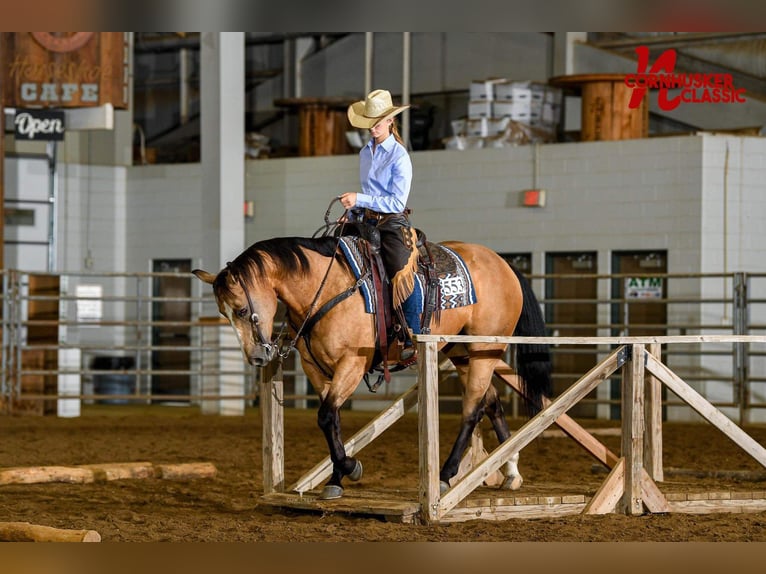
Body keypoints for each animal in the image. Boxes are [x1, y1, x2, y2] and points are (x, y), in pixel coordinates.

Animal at [194, 232, 552, 502]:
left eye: (241, 310)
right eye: (224, 313)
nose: (257, 356)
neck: (327, 289)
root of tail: (502, 263)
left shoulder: (352, 364)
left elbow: (326, 416)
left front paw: (350, 468)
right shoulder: (317, 370)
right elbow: (332, 421)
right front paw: (336, 479)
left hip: (484, 350)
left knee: (472, 409)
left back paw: (446, 475)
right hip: (463, 352)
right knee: (490, 402)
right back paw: (510, 471)